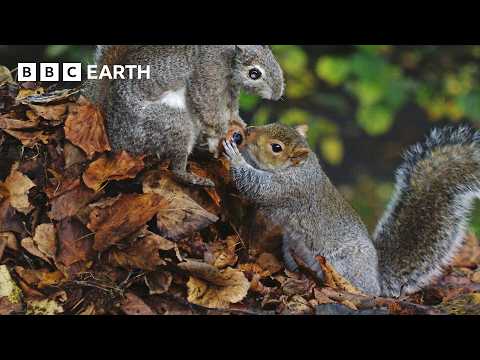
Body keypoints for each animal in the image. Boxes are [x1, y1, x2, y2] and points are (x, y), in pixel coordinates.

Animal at [82, 44, 284, 186]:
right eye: (254, 73)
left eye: (274, 60)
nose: (277, 94)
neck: (228, 59)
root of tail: (118, 140)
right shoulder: (208, 74)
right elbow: (208, 108)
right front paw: (221, 137)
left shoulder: (230, 91)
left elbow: (231, 109)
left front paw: (239, 124)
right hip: (171, 123)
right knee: (176, 168)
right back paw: (192, 177)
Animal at [222, 122, 480, 296]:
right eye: (271, 123)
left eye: (276, 147)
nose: (248, 130)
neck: (300, 169)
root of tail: (376, 279)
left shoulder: (288, 189)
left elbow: (257, 187)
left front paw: (235, 156)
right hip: (292, 249)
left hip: (344, 265)